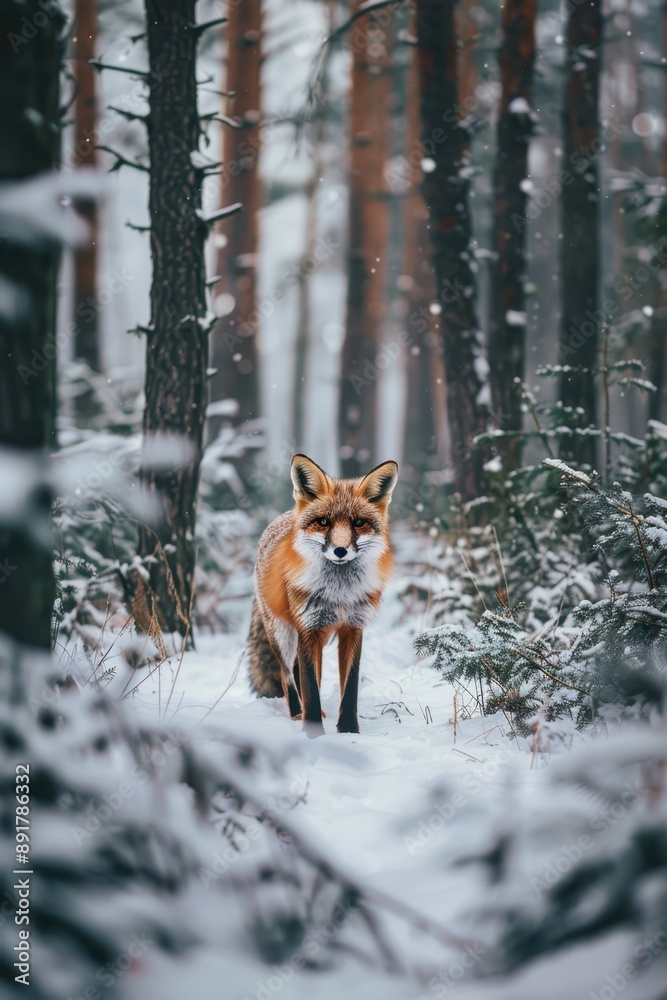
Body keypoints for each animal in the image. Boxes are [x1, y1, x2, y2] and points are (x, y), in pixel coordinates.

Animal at [247, 454, 398, 735]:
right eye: (324, 521)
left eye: (358, 523)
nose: (340, 550)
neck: (339, 594)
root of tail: (284, 517)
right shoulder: (309, 628)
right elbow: (310, 687)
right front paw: (313, 735)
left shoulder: (353, 627)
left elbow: (349, 688)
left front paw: (348, 730)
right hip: (283, 634)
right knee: (287, 675)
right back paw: (297, 714)